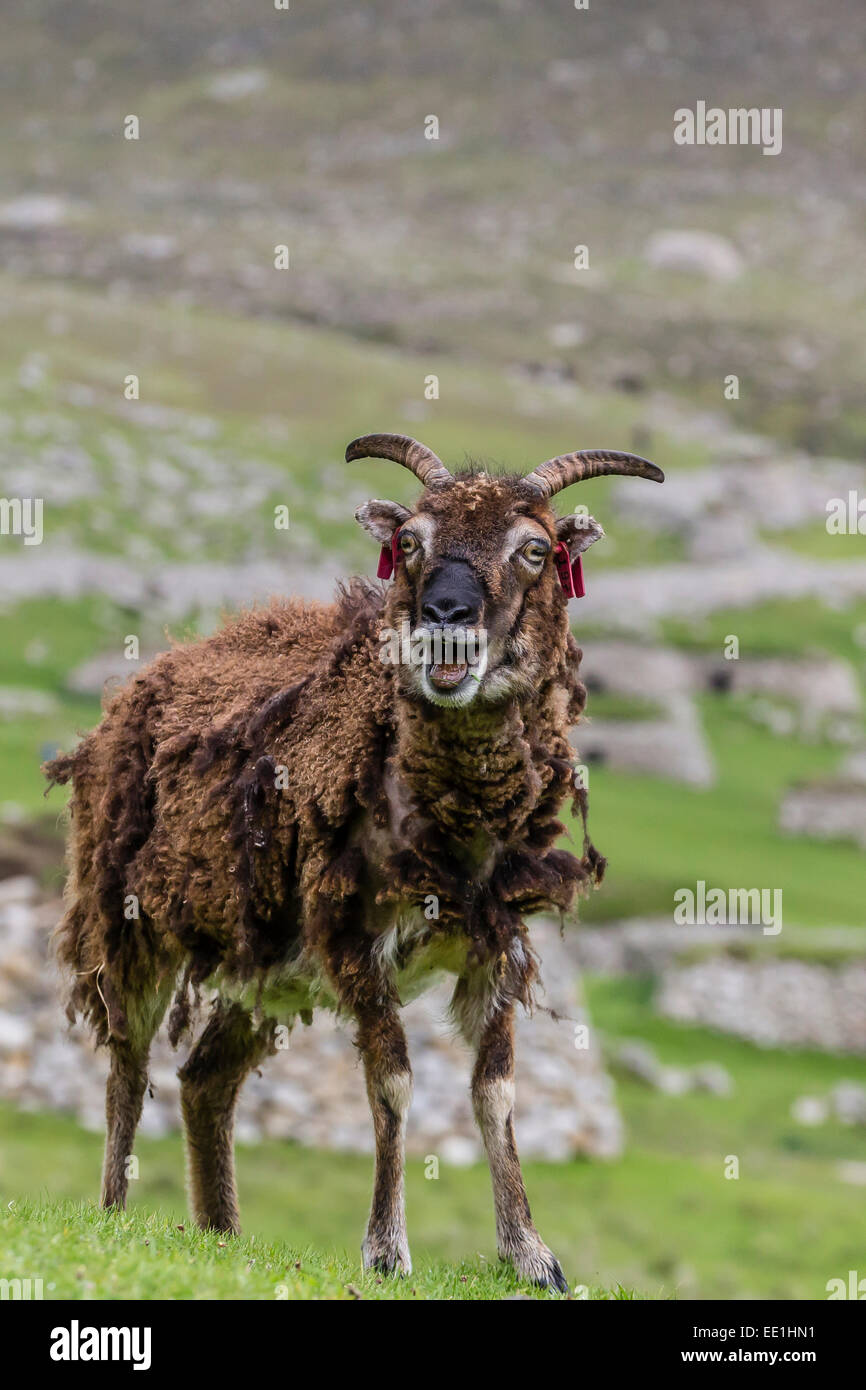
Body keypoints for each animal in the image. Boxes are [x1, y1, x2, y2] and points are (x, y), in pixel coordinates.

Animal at [45, 433, 664, 1289]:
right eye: (410, 544)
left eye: (535, 550)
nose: (445, 618)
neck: (452, 830)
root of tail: (147, 676)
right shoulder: (354, 940)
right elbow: (393, 1083)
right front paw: (386, 1249)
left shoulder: (497, 945)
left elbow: (496, 1092)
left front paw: (531, 1255)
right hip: (130, 920)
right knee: (128, 1069)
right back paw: (114, 1210)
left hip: (269, 964)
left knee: (204, 1080)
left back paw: (221, 1233)